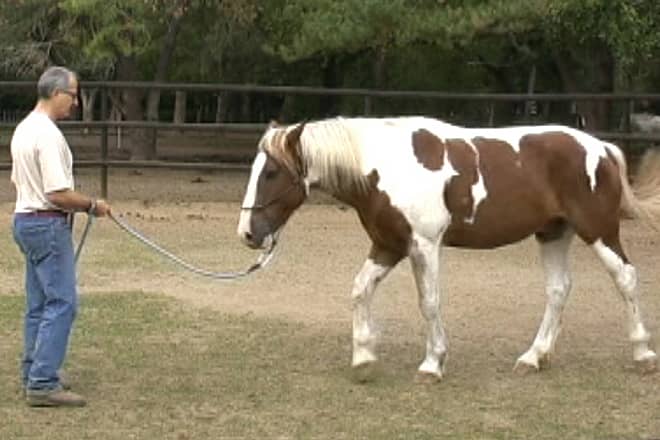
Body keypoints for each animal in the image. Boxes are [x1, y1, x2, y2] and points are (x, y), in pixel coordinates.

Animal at [237, 116, 660, 382]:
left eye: (271, 172)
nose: (247, 233)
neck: (386, 166)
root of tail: (601, 147)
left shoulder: (423, 246)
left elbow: (429, 303)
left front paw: (432, 363)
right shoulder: (388, 245)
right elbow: (360, 290)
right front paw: (363, 358)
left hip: (598, 230)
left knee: (625, 277)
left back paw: (642, 354)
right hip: (553, 234)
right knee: (558, 290)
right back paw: (533, 357)